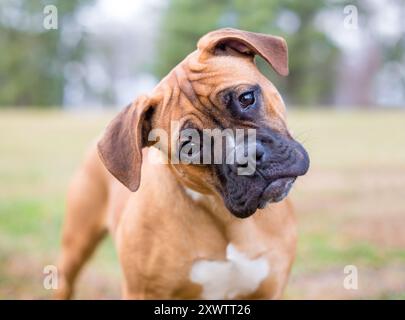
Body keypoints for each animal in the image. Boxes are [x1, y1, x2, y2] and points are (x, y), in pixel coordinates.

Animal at [54, 28, 310, 300]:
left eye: (246, 97)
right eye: (190, 146)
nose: (248, 156)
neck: (224, 216)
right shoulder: (142, 292)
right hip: (75, 246)